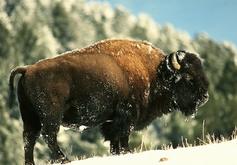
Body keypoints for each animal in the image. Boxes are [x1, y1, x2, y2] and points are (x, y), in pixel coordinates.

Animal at [8, 39, 209, 164]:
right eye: (189, 77)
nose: (205, 97)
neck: (155, 73)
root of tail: (28, 69)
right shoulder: (127, 115)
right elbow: (123, 136)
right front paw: (127, 152)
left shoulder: (112, 120)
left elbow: (114, 139)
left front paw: (117, 153)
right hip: (51, 115)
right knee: (49, 135)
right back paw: (64, 159)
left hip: (29, 116)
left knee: (29, 138)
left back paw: (31, 163)